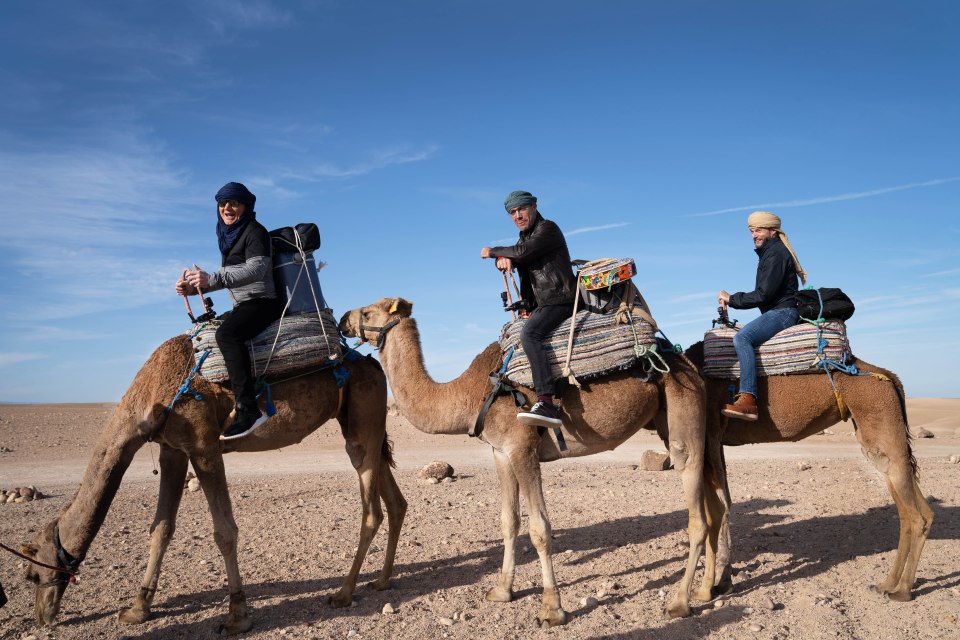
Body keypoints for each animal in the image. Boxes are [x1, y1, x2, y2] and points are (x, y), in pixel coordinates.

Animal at [20, 336, 406, 636]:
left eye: (32, 575)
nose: (42, 617)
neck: (151, 394)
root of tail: (374, 365)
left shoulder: (204, 445)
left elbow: (224, 532)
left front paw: (237, 616)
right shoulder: (173, 450)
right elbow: (161, 528)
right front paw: (138, 607)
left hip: (361, 419)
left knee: (371, 510)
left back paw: (343, 593)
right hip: (361, 422)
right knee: (395, 500)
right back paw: (382, 580)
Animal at [338, 298, 720, 628]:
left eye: (368, 312)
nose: (343, 320)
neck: (470, 393)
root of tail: (688, 365)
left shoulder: (523, 448)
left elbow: (540, 529)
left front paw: (552, 609)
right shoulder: (501, 452)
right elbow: (509, 521)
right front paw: (501, 591)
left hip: (683, 411)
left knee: (696, 513)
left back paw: (679, 602)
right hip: (670, 418)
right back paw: (707, 588)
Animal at [688, 342, 932, 604]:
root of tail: (888, 377)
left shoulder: (709, 434)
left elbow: (718, 509)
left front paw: (710, 588)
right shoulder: (716, 441)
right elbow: (724, 503)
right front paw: (722, 583)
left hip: (878, 418)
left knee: (916, 515)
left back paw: (903, 590)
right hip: (879, 436)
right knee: (911, 510)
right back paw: (887, 584)